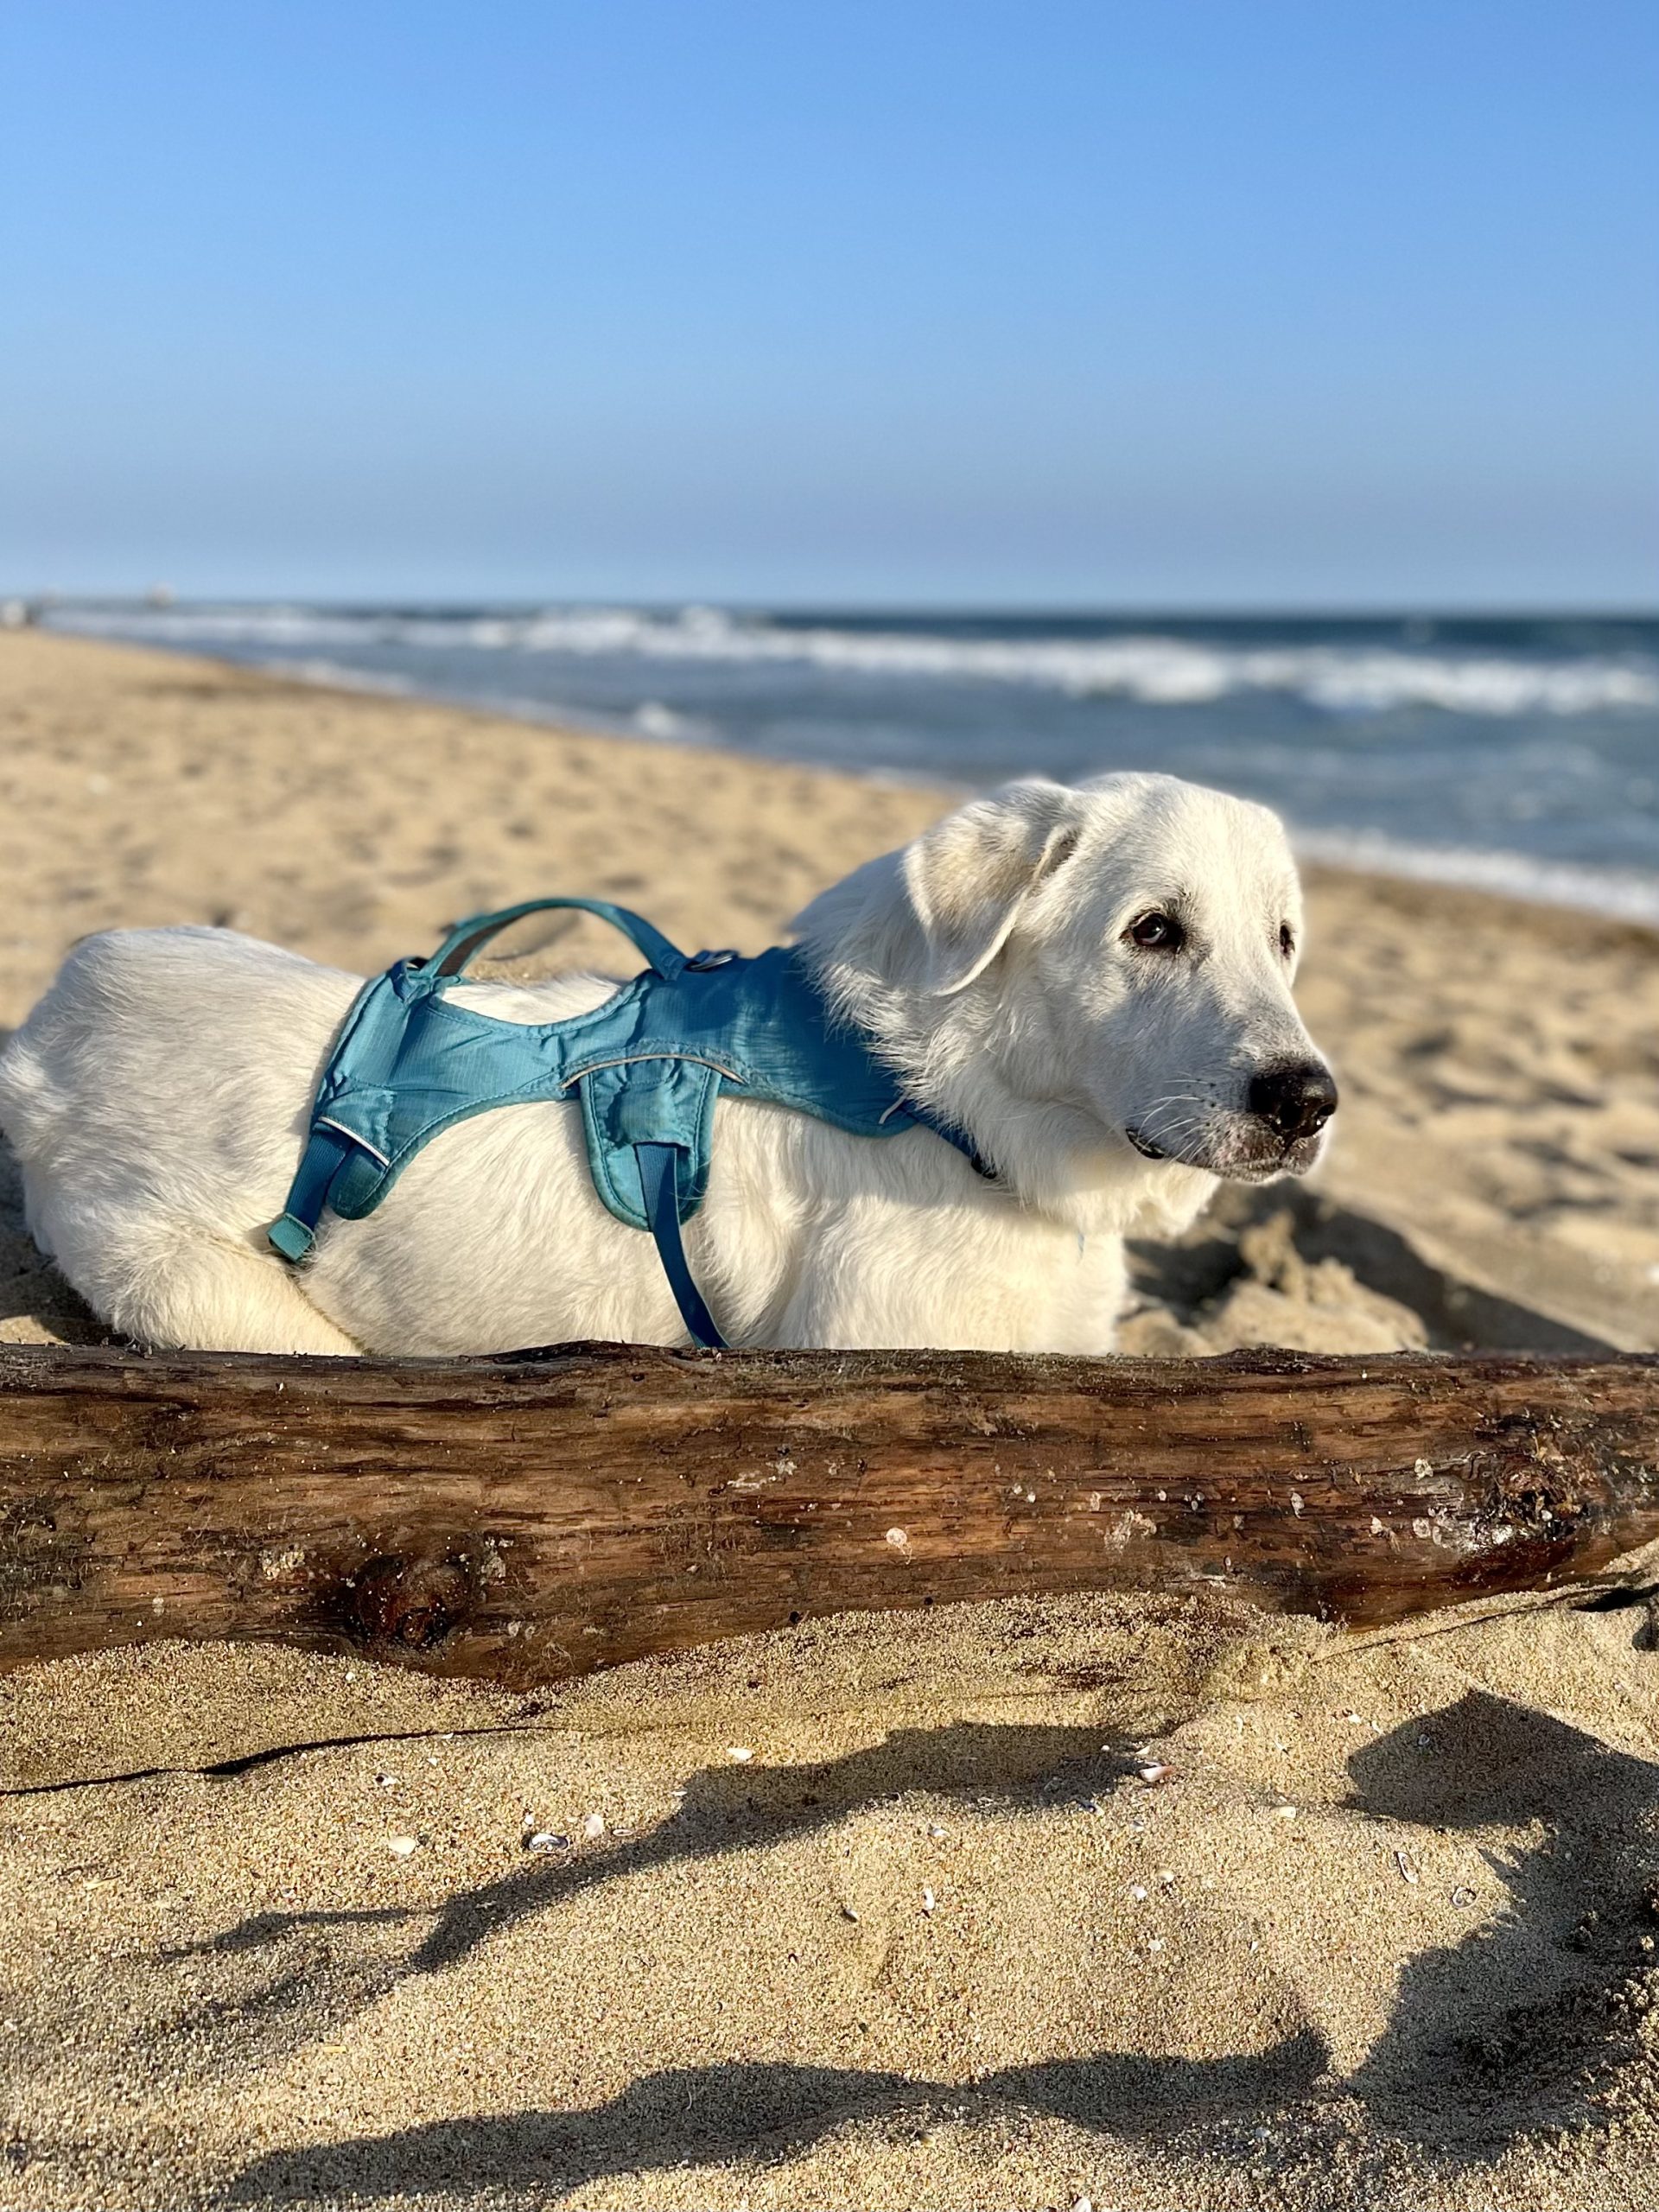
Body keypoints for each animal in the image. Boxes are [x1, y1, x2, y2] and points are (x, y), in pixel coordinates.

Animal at [0, 769, 1336, 1353]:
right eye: (1151, 930)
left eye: (1285, 939)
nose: (1308, 1100)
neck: (958, 1105)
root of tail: (48, 1038)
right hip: (214, 1301)